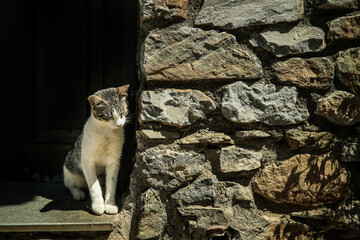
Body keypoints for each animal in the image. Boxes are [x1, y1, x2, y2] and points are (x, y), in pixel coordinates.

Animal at [63, 85, 129, 216]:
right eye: (109, 116)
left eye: (122, 112)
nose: (119, 124)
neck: (107, 132)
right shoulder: (87, 161)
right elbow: (94, 186)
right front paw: (98, 205)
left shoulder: (114, 161)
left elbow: (111, 184)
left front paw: (110, 205)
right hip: (71, 171)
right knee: (70, 185)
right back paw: (78, 193)